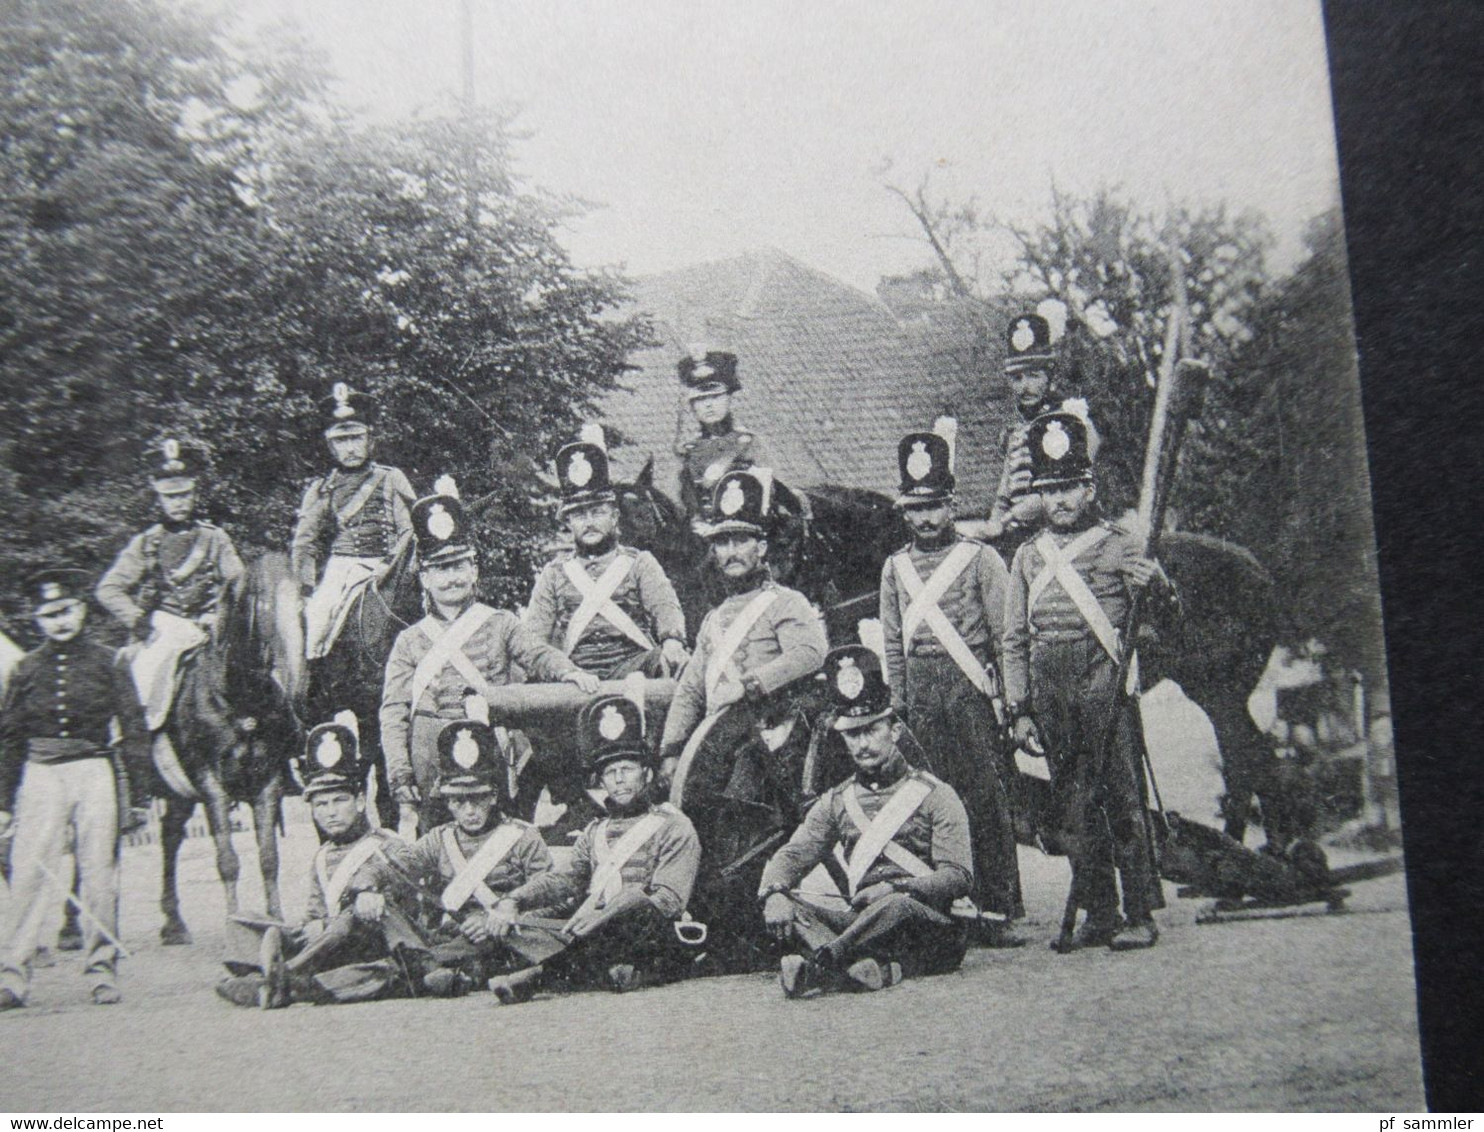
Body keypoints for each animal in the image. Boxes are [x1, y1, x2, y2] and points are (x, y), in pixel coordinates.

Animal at [152, 554, 304, 943]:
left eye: (301, 603)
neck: (238, 698)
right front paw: (236, 925)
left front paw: (277, 923)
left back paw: (173, 923)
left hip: (178, 796)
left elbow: (269, 857)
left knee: (169, 836)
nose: (295, 684)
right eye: (261, 605)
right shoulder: (211, 786)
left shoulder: (268, 782)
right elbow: (228, 860)